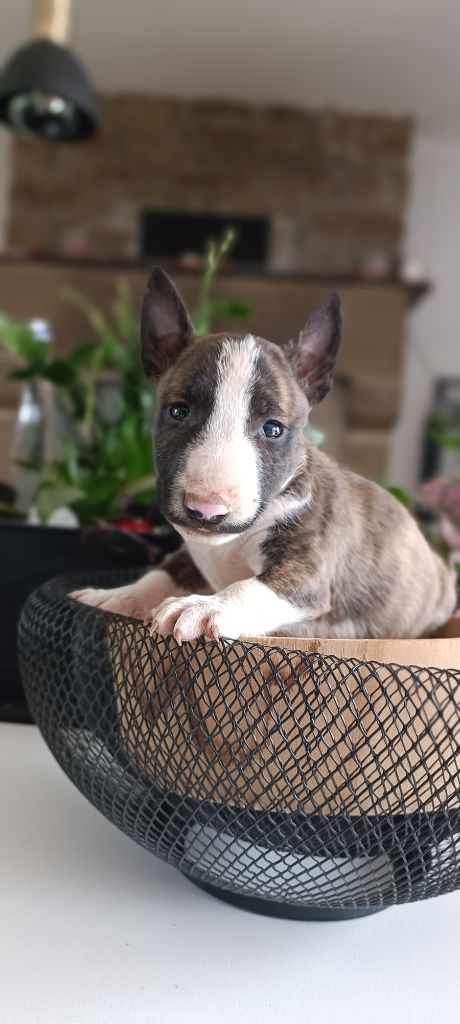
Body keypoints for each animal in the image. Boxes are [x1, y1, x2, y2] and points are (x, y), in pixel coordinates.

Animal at [73, 269, 456, 643]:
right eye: (178, 411)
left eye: (273, 429)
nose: (206, 509)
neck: (226, 545)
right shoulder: (190, 555)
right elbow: (161, 573)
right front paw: (116, 595)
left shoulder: (308, 568)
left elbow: (252, 587)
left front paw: (204, 607)